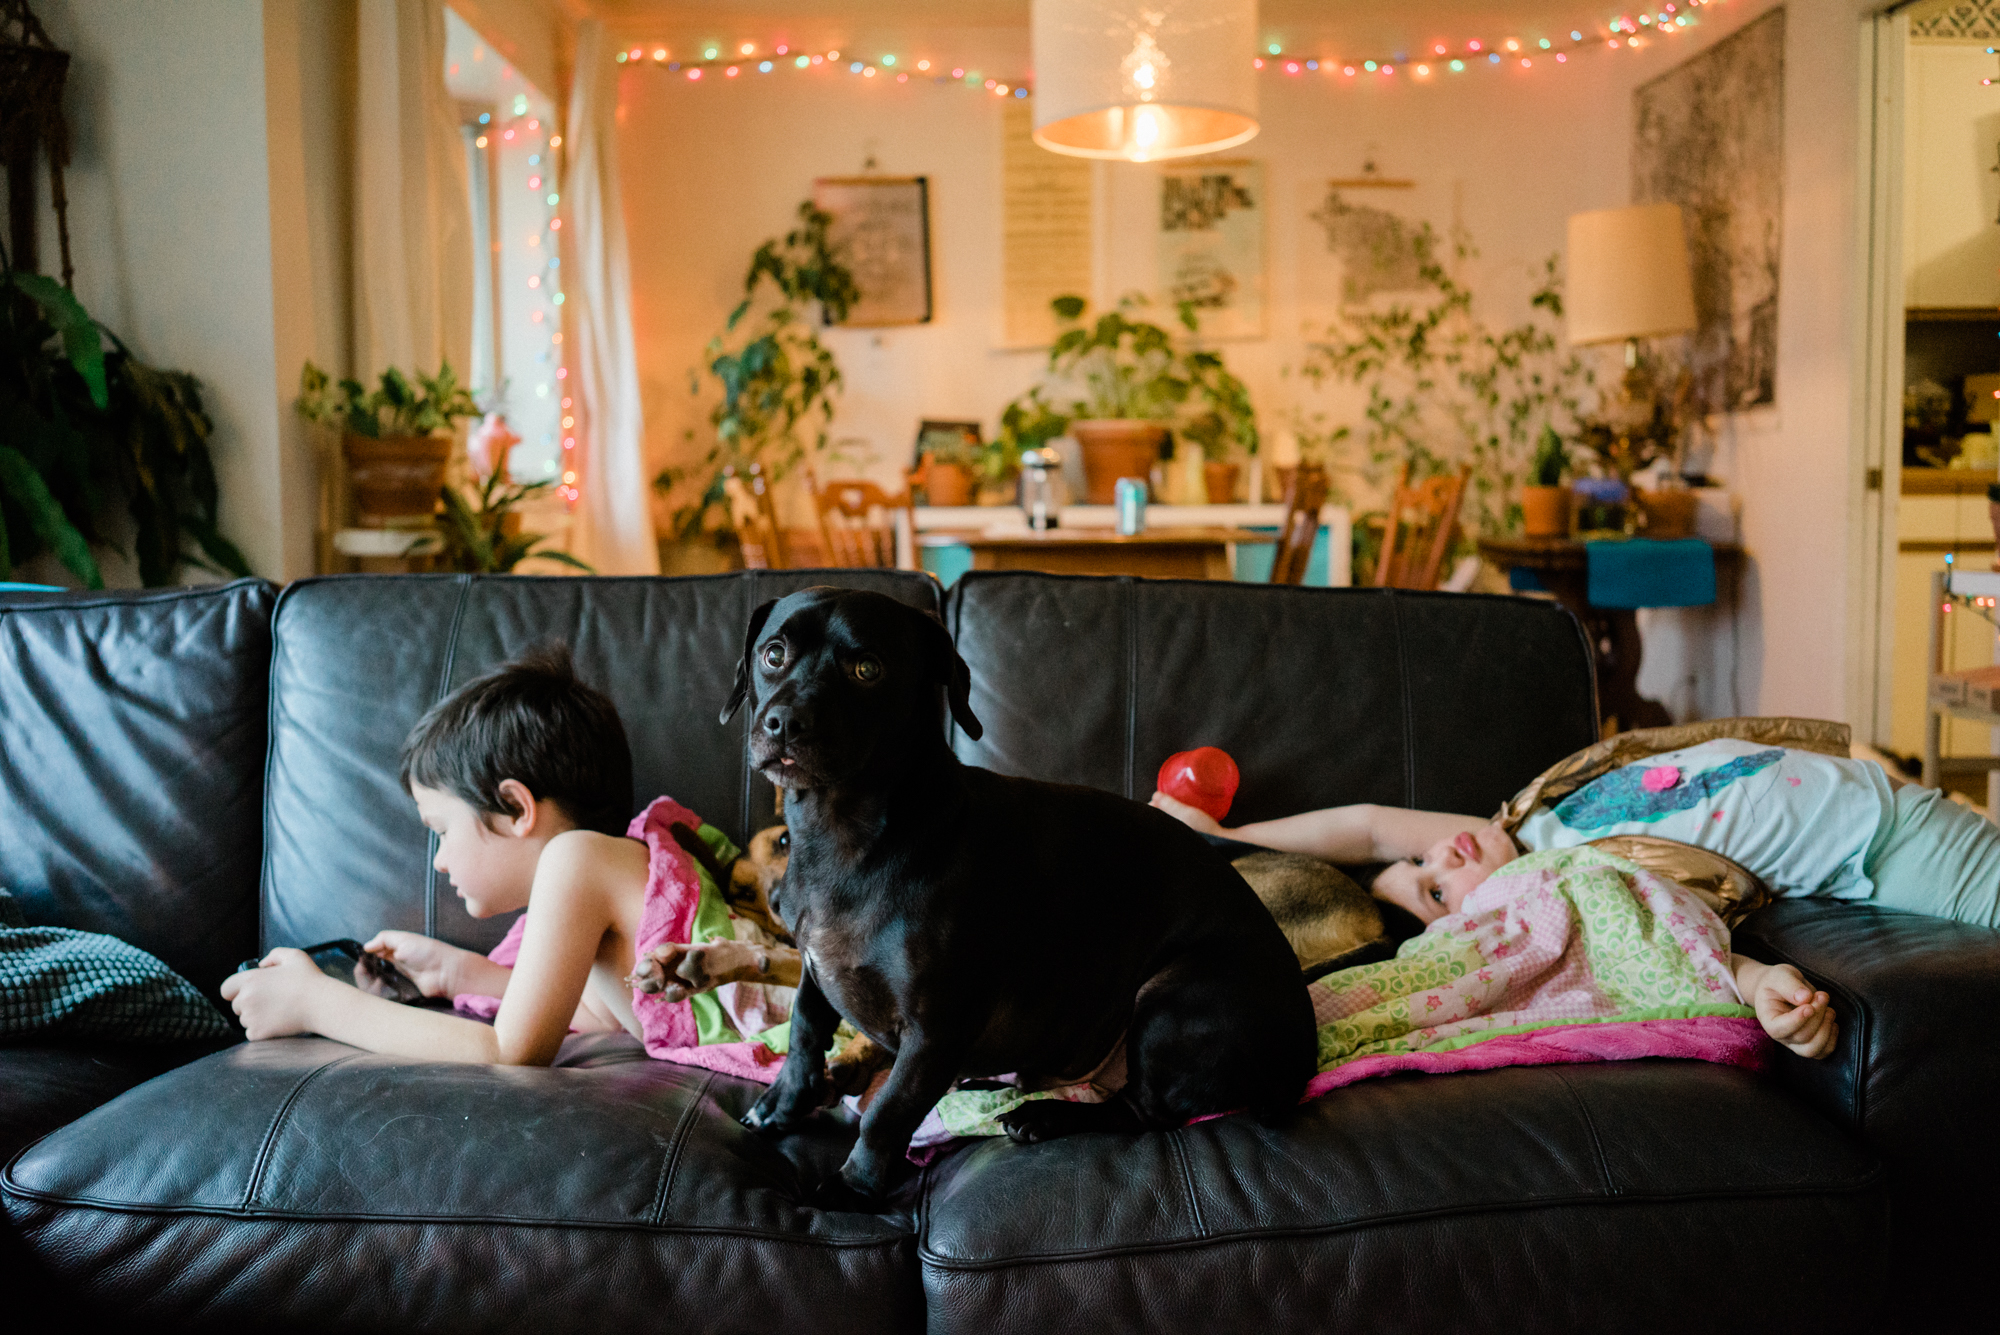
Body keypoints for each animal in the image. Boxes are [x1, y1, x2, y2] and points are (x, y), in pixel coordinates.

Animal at [720, 587, 1312, 1207]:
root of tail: (1302, 1052)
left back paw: (1043, 1117)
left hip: (1172, 999)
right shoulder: (817, 966)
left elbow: (887, 1113)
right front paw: (782, 1106)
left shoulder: (933, 1033)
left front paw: (852, 1190)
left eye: (868, 669)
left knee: (1141, 1112)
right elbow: (805, 1035)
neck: (843, 836)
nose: (784, 722)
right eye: (773, 654)